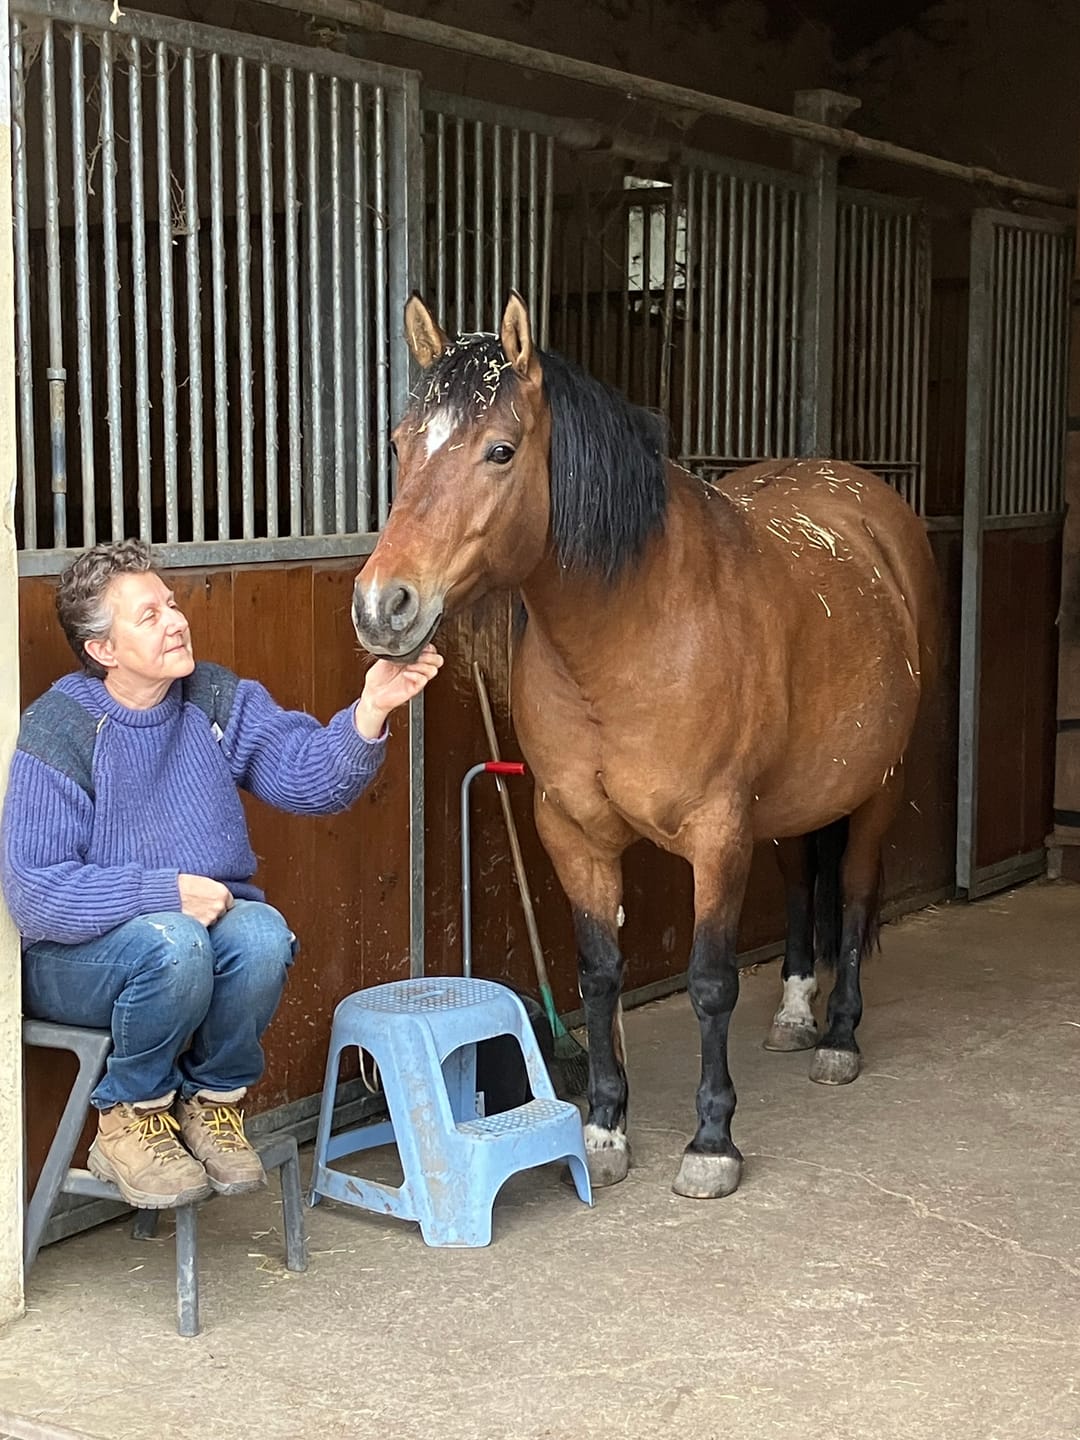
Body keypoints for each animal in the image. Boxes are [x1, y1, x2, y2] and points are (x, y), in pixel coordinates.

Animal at [352, 290, 941, 1200]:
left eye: (499, 450)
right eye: (400, 444)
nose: (383, 607)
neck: (631, 633)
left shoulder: (717, 831)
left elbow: (709, 982)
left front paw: (711, 1142)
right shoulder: (573, 830)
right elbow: (598, 975)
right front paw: (603, 1128)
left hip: (876, 786)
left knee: (849, 893)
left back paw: (839, 1037)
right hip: (789, 804)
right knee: (801, 887)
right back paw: (795, 1015)